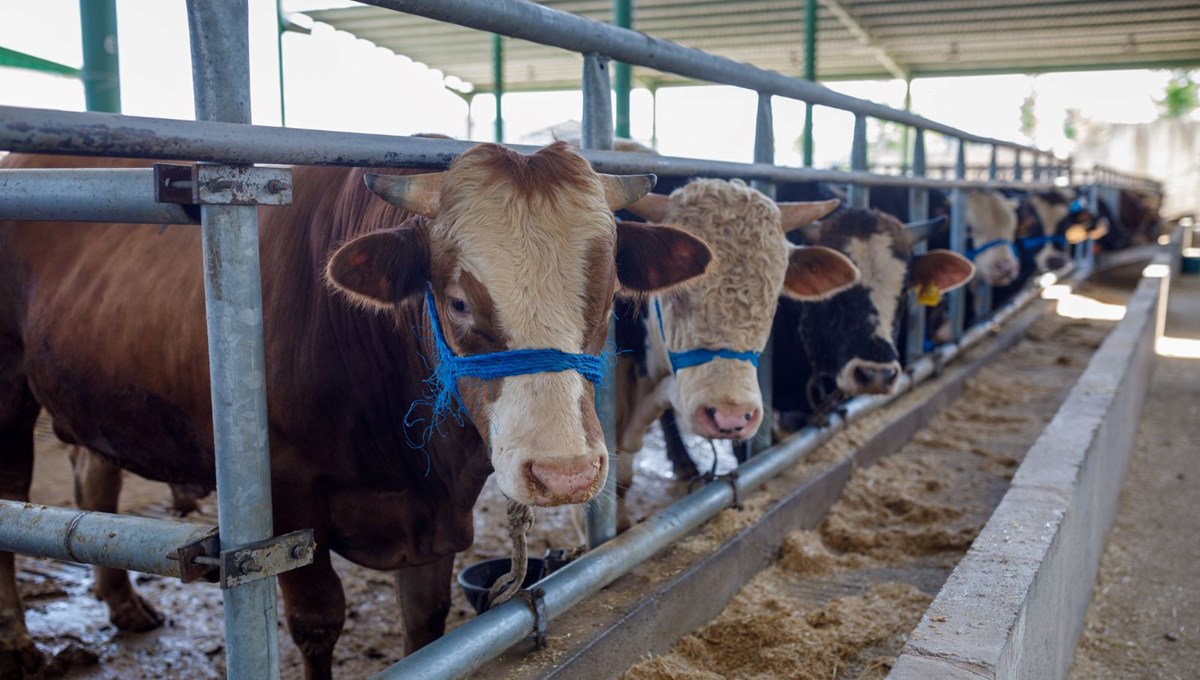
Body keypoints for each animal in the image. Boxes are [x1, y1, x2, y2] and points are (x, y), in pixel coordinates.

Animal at [0, 140, 710, 676]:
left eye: (609, 294)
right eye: (457, 300)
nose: (564, 473)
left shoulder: (434, 522)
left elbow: (425, 623)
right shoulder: (285, 500)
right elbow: (318, 623)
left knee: (94, 474)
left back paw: (122, 604)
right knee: (15, 490)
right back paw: (19, 641)